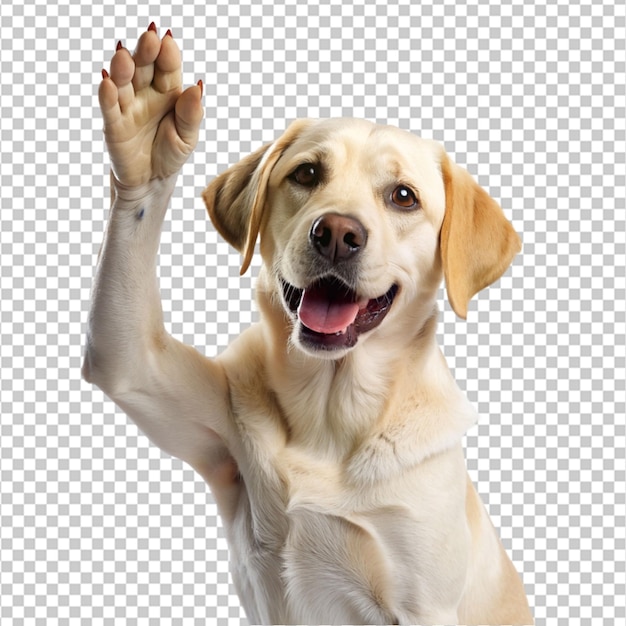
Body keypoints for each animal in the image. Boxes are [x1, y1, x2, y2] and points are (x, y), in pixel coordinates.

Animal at [83, 29, 532, 624]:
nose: (337, 233)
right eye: (307, 173)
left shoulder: (424, 605)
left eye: (403, 196)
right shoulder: (148, 373)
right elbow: (126, 353)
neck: (331, 410)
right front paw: (147, 126)